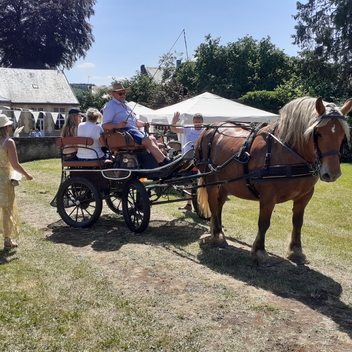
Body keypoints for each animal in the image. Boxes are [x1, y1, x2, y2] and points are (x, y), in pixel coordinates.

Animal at [195, 96, 352, 264]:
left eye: (342, 134)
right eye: (318, 132)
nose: (333, 173)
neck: (286, 151)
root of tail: (209, 128)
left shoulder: (305, 196)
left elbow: (298, 222)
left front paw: (296, 251)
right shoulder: (268, 196)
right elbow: (264, 223)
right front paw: (259, 252)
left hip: (226, 182)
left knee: (219, 205)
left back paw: (215, 232)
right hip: (210, 178)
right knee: (212, 203)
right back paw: (217, 235)